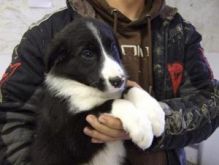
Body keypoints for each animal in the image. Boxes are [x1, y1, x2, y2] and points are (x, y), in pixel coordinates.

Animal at [32, 17, 165, 165]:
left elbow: (131, 89)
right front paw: (142, 129)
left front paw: (156, 115)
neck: (88, 88)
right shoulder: (71, 136)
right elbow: (114, 102)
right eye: (87, 54)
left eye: (113, 47)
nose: (118, 80)